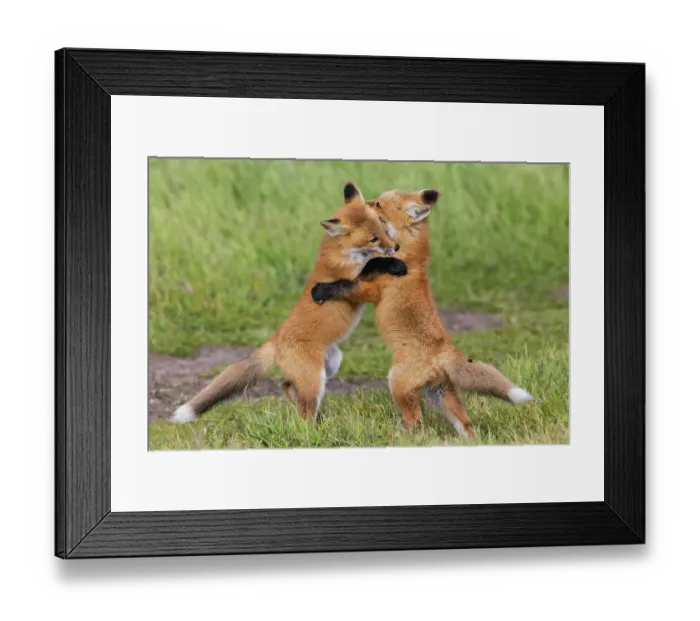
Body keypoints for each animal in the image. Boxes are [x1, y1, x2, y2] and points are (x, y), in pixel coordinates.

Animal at [171, 181, 407, 424]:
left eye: (383, 227)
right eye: (373, 239)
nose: (396, 247)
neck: (341, 252)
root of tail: (275, 339)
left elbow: (373, 261)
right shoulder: (352, 278)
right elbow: (374, 262)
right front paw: (395, 264)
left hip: (330, 366)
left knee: (285, 384)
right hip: (314, 379)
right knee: (302, 407)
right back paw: (312, 428)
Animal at [311, 189, 533, 438]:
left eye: (378, 204)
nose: (365, 204)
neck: (409, 254)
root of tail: (444, 350)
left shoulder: (371, 289)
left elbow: (346, 283)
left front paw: (321, 289)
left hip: (397, 384)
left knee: (416, 421)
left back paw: (403, 438)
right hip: (441, 396)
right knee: (466, 424)